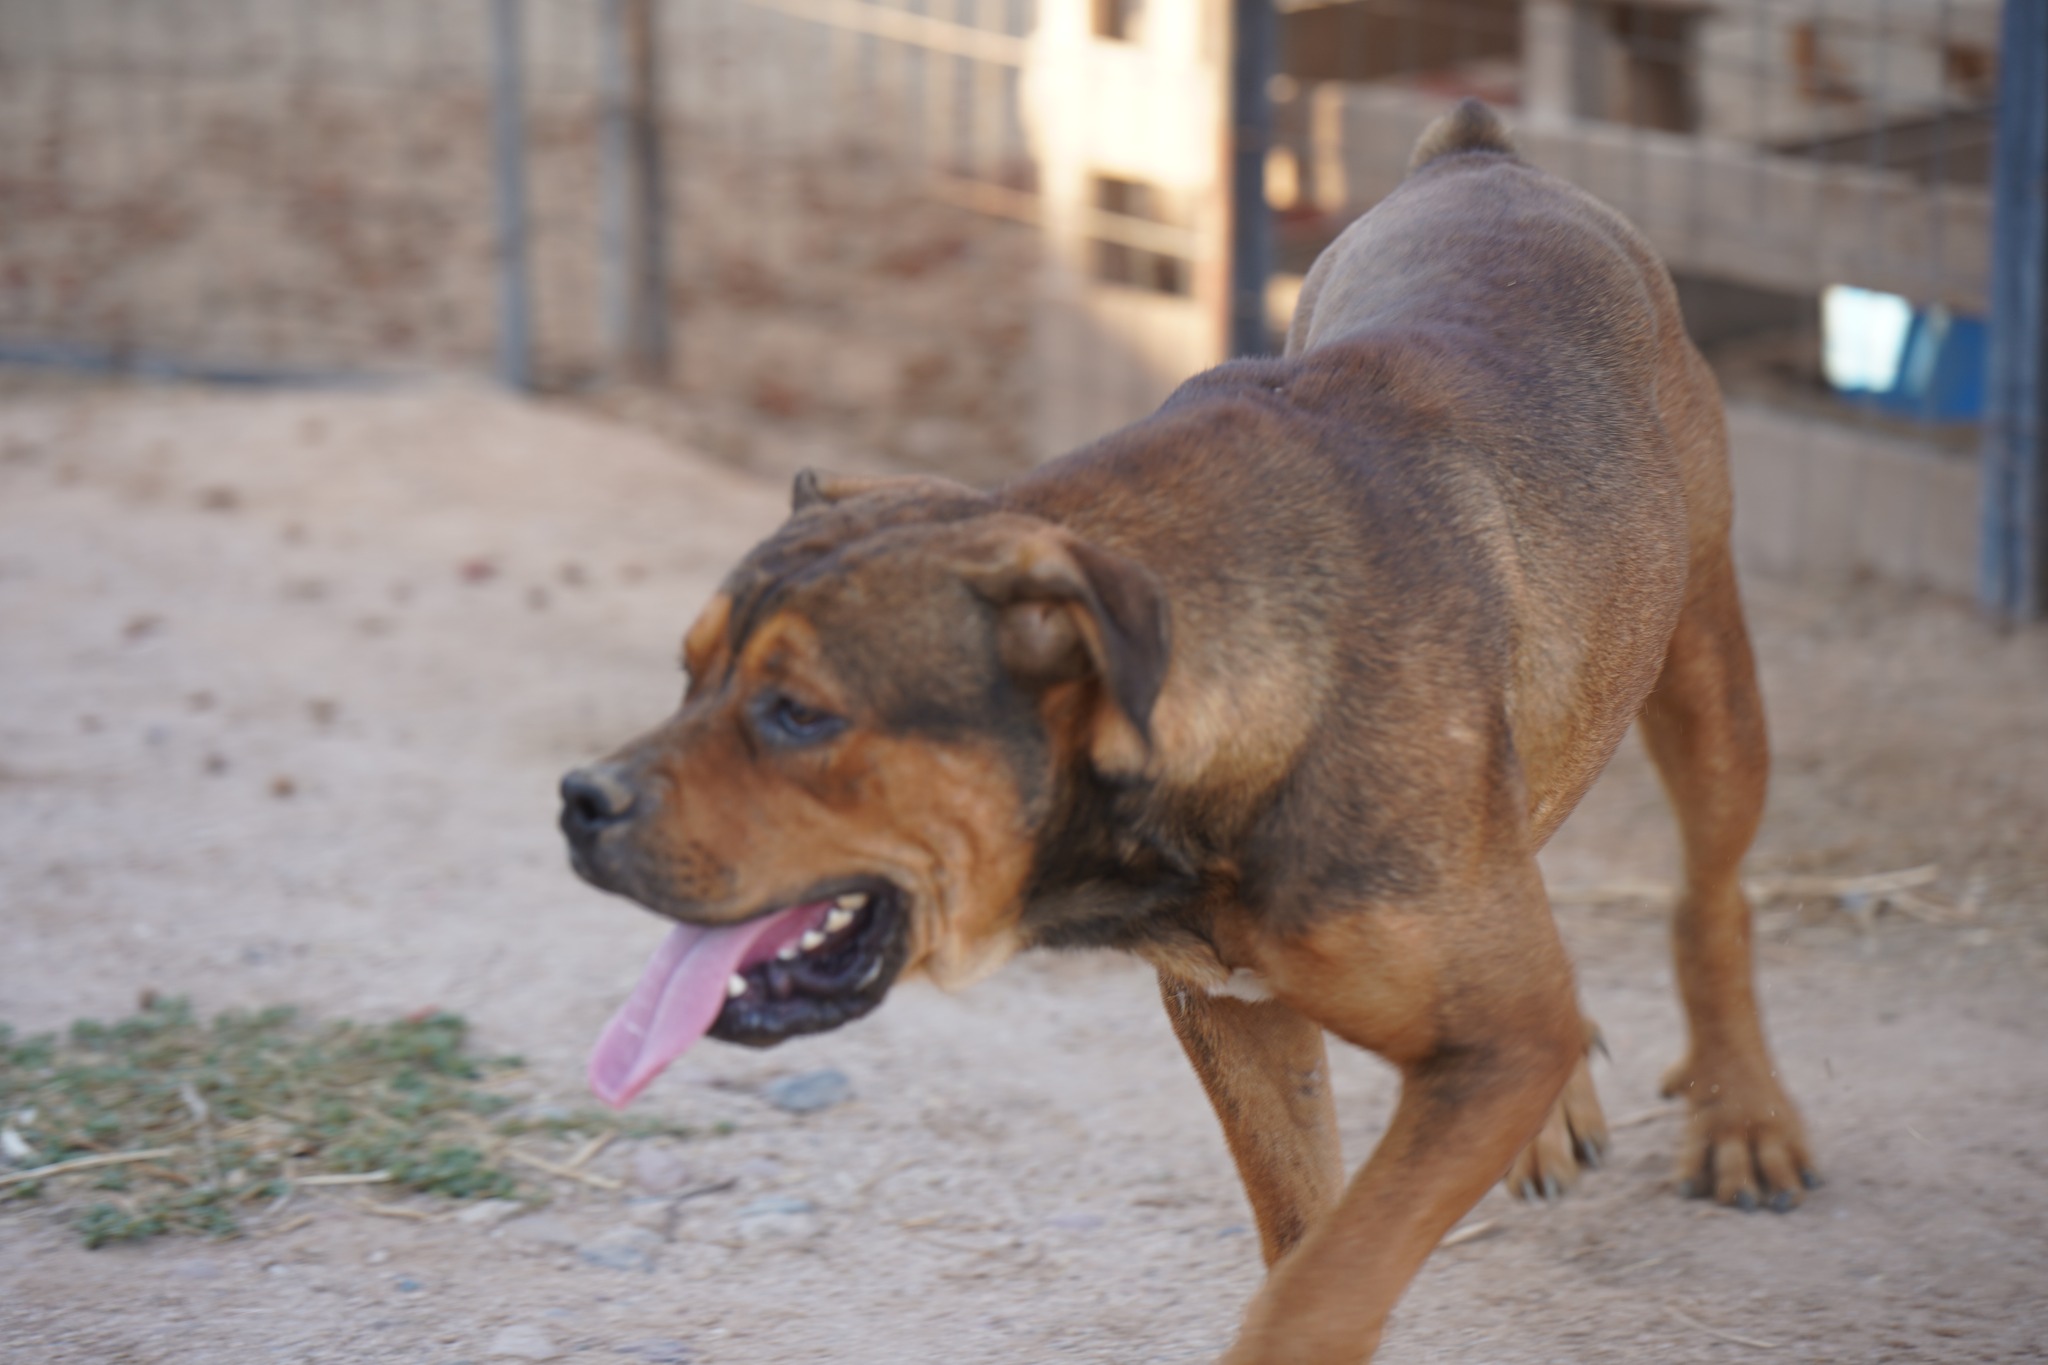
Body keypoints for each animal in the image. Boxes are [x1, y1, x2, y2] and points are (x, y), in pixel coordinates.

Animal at [557, 101, 1810, 1358]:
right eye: (688, 674)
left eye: (800, 714)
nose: (578, 802)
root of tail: (1478, 152)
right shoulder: (1237, 1015)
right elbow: (1306, 1235)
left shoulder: (1494, 1046)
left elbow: (1325, 1282)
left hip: (1704, 672)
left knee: (1709, 898)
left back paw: (1742, 1114)